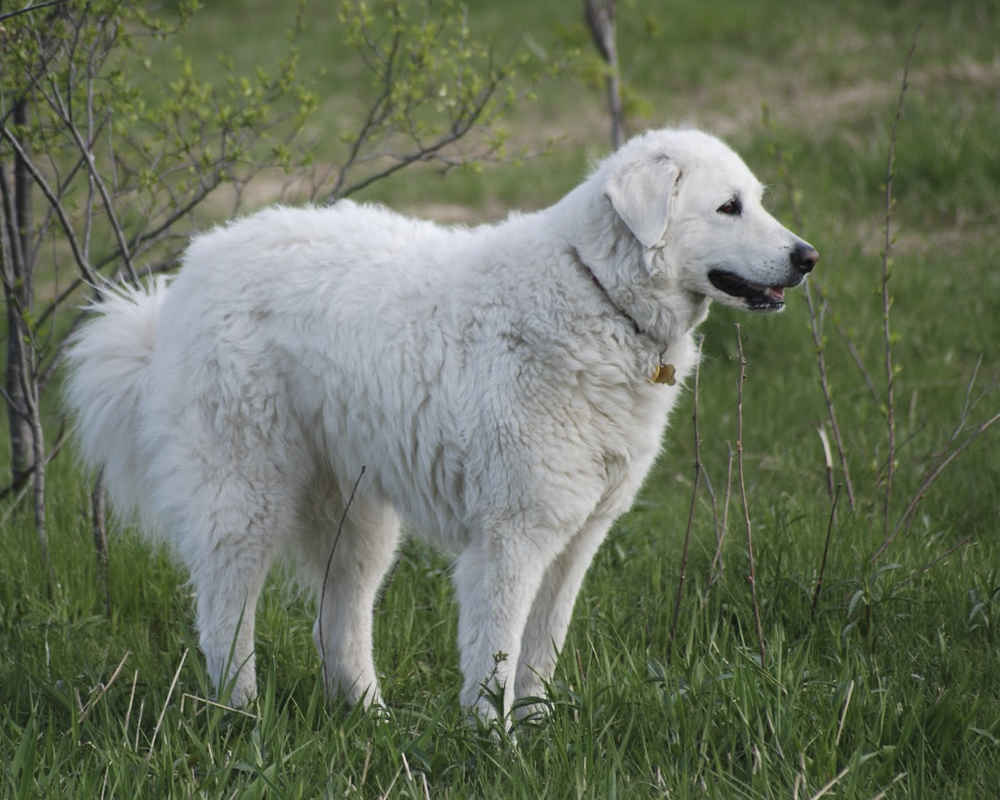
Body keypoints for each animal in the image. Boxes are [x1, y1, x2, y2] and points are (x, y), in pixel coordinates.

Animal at [62, 130, 816, 720]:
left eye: (757, 199)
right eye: (728, 208)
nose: (808, 258)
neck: (596, 291)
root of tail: (191, 272)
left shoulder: (576, 539)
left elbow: (540, 653)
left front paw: (538, 735)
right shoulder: (511, 538)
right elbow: (495, 657)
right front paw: (497, 747)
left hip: (357, 521)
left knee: (339, 626)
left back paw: (372, 719)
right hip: (246, 499)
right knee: (225, 621)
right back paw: (242, 718)